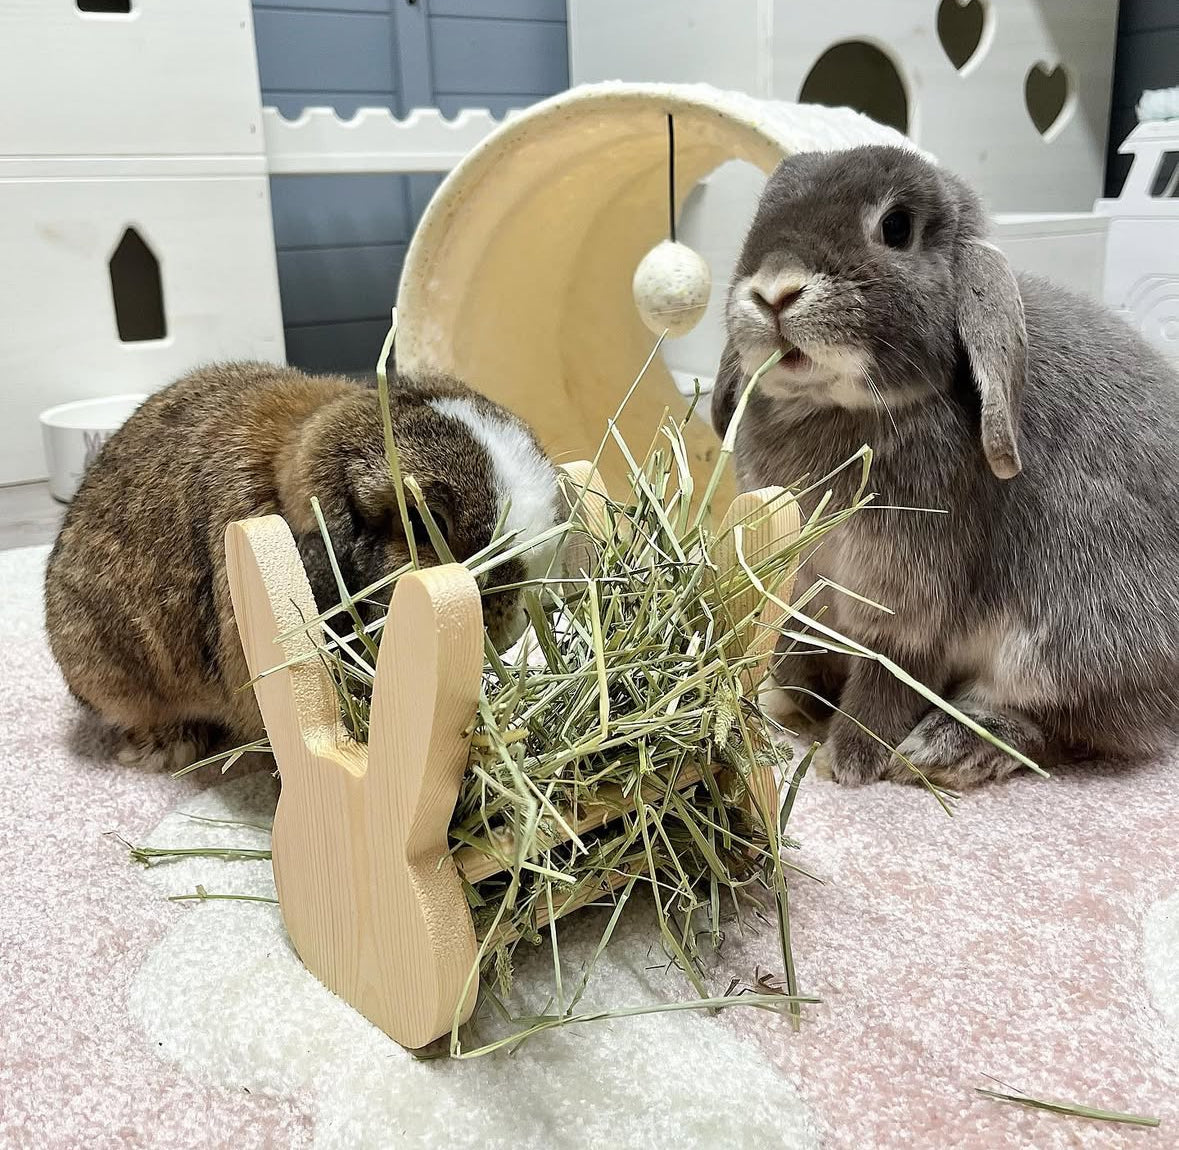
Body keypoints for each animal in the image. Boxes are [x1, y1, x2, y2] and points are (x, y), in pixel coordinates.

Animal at [712, 144, 1179, 789]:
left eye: (895, 227)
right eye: (761, 214)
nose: (775, 291)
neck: (836, 406)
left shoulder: (905, 604)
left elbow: (888, 672)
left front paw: (848, 761)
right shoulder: (806, 587)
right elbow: (798, 644)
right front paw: (792, 702)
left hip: (1075, 637)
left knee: (1067, 730)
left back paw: (948, 748)